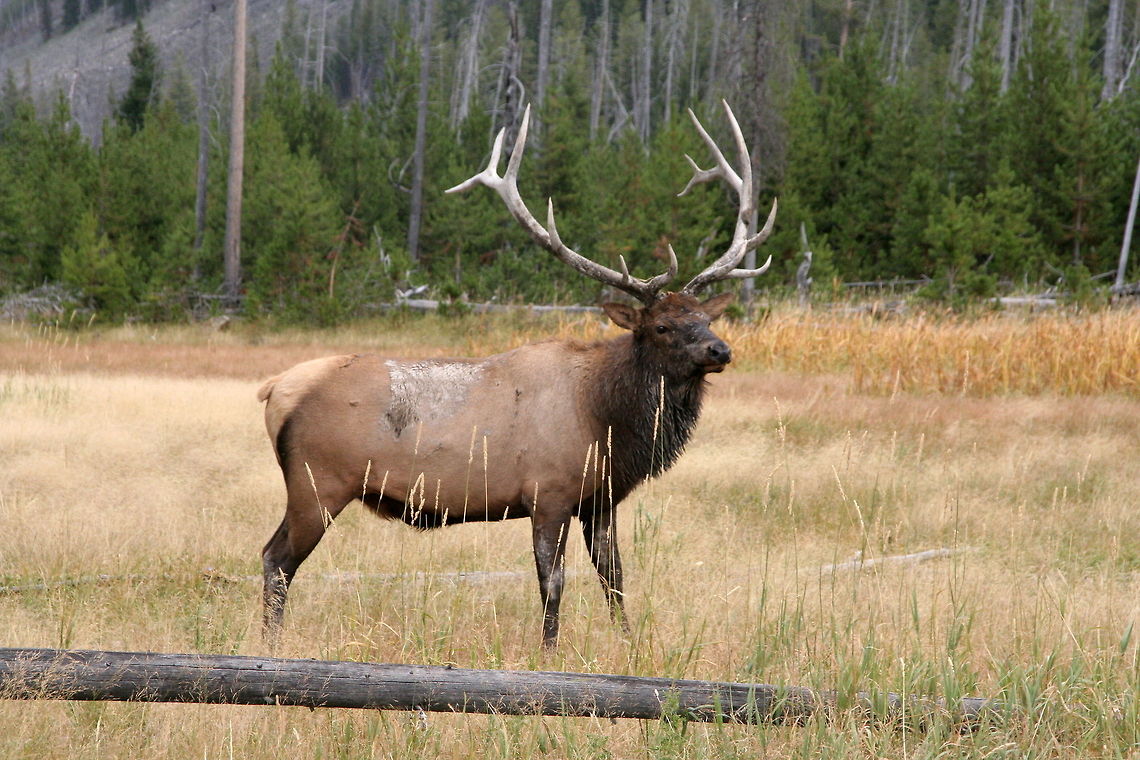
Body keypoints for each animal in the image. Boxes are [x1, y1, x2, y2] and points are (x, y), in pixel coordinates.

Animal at [257, 100, 777, 648]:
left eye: (706, 318)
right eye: (661, 326)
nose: (720, 349)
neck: (608, 421)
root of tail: (274, 390)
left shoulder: (601, 499)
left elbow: (615, 578)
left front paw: (631, 645)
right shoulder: (549, 492)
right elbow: (553, 581)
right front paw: (549, 650)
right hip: (318, 482)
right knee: (278, 559)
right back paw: (272, 644)